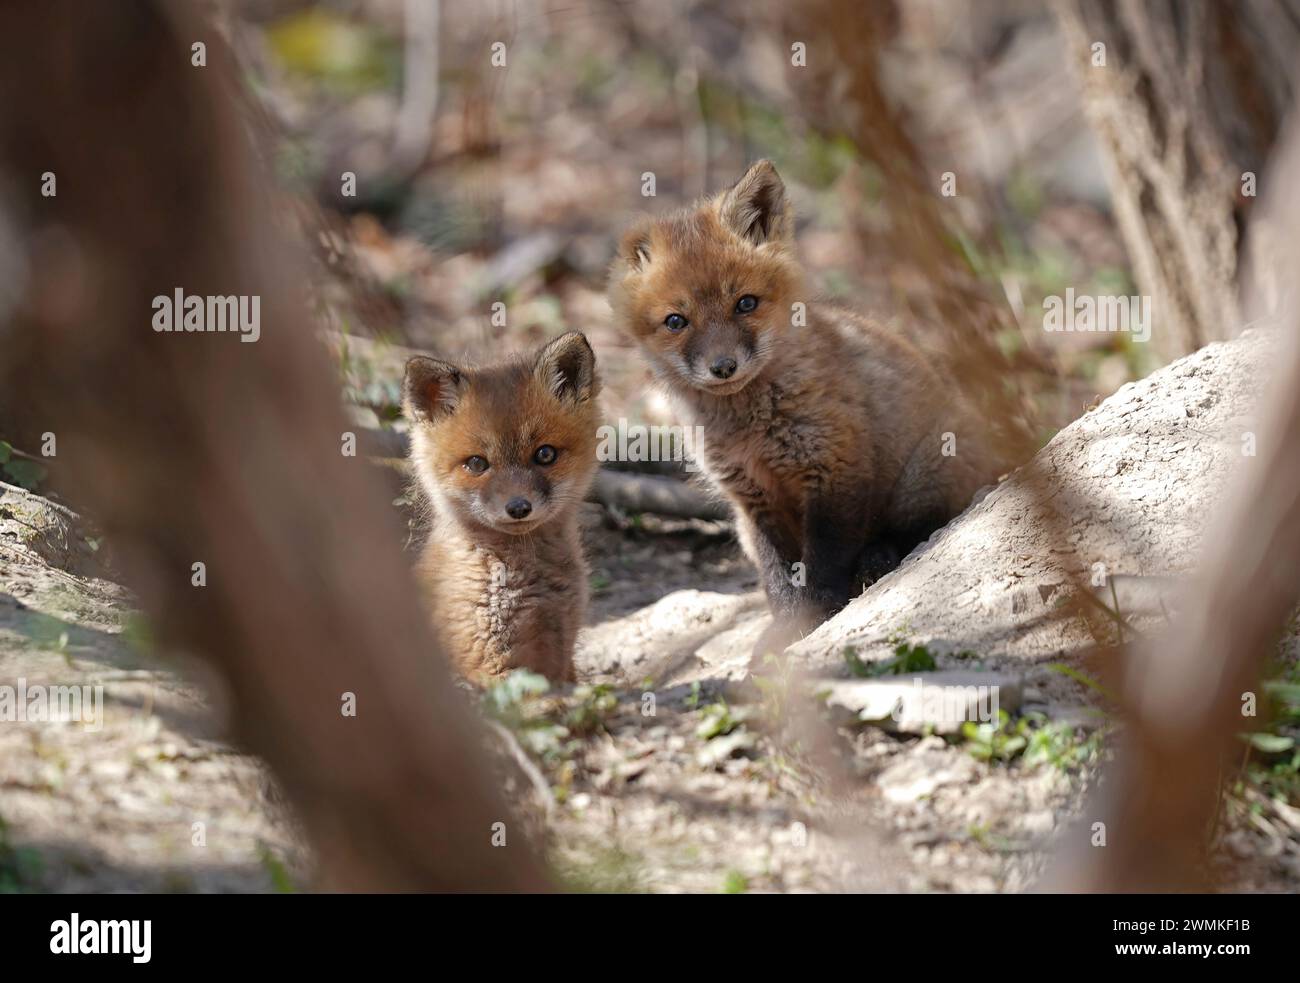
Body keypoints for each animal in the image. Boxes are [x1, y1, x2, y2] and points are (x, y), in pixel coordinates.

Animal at [608, 160, 1004, 655]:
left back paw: (878, 559)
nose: (723, 367)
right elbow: (778, 578)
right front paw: (784, 628)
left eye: (746, 303)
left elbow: (823, 566)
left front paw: (811, 621)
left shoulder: (835, 470)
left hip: (928, 471)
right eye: (676, 321)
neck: (750, 429)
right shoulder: (751, 501)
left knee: (921, 528)